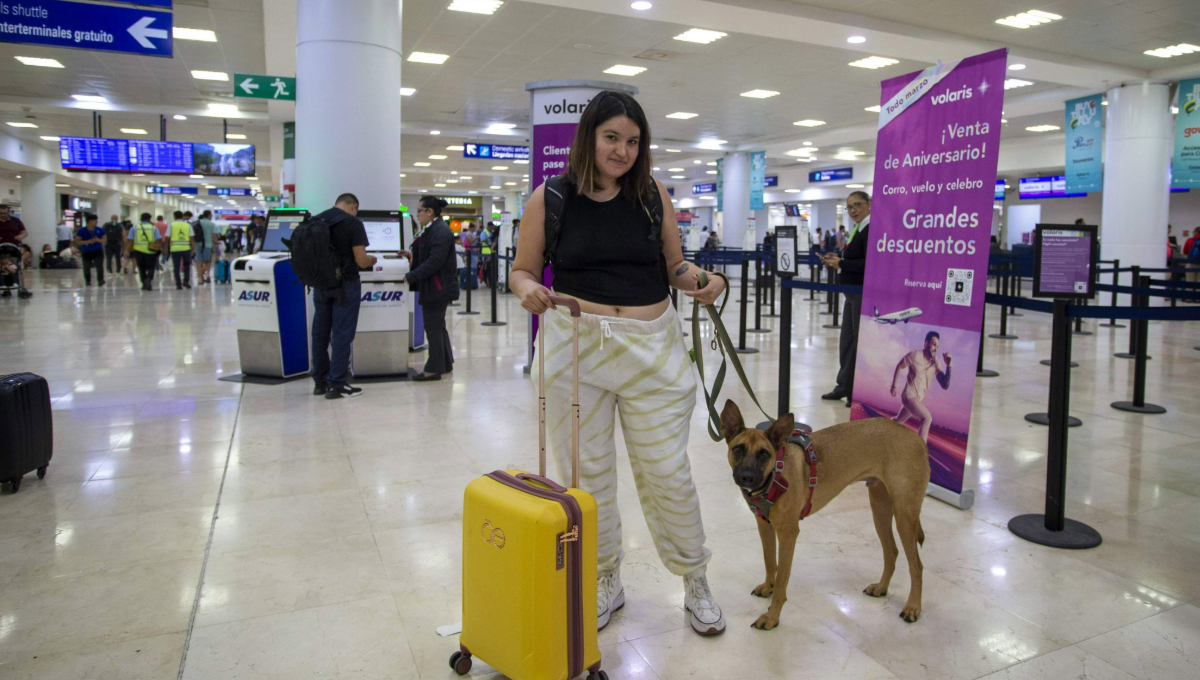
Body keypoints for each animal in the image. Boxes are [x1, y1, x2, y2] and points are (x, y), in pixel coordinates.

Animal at [720, 402, 926, 628]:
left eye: (764, 454)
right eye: (738, 449)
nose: (747, 477)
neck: (774, 475)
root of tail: (917, 438)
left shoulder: (788, 534)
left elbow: (782, 579)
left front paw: (772, 616)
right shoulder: (764, 526)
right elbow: (769, 561)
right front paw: (768, 586)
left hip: (904, 515)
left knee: (917, 566)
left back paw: (913, 607)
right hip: (880, 510)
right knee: (892, 552)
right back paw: (881, 587)